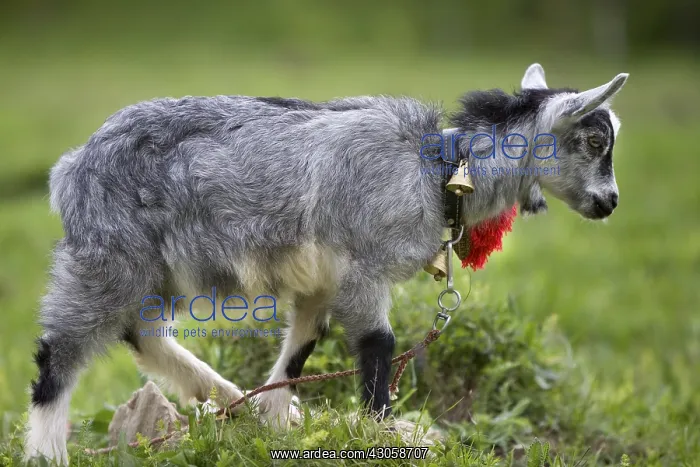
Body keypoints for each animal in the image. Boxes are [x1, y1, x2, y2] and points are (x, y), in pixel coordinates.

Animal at [25, 63, 628, 463]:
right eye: (596, 139)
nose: (611, 202)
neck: (437, 170)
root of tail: (72, 166)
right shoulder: (363, 267)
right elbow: (380, 345)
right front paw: (380, 431)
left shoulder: (321, 277)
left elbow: (302, 345)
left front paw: (276, 421)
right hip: (109, 255)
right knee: (62, 352)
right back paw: (46, 450)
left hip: (155, 267)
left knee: (144, 334)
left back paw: (231, 400)